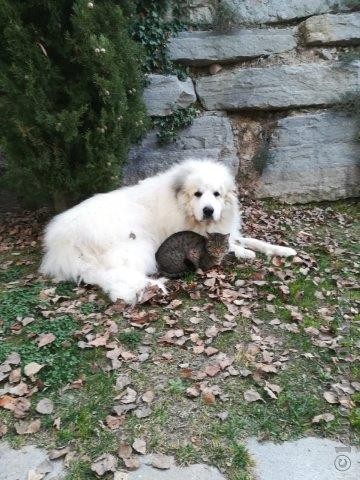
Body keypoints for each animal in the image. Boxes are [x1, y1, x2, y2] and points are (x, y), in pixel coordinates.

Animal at [41, 160, 296, 304]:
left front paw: (283, 250)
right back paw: (149, 287)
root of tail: (61, 241)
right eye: (198, 194)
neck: (181, 205)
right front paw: (245, 253)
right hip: (136, 245)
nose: (208, 210)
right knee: (118, 277)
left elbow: (254, 240)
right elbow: (230, 247)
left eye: (216, 194)